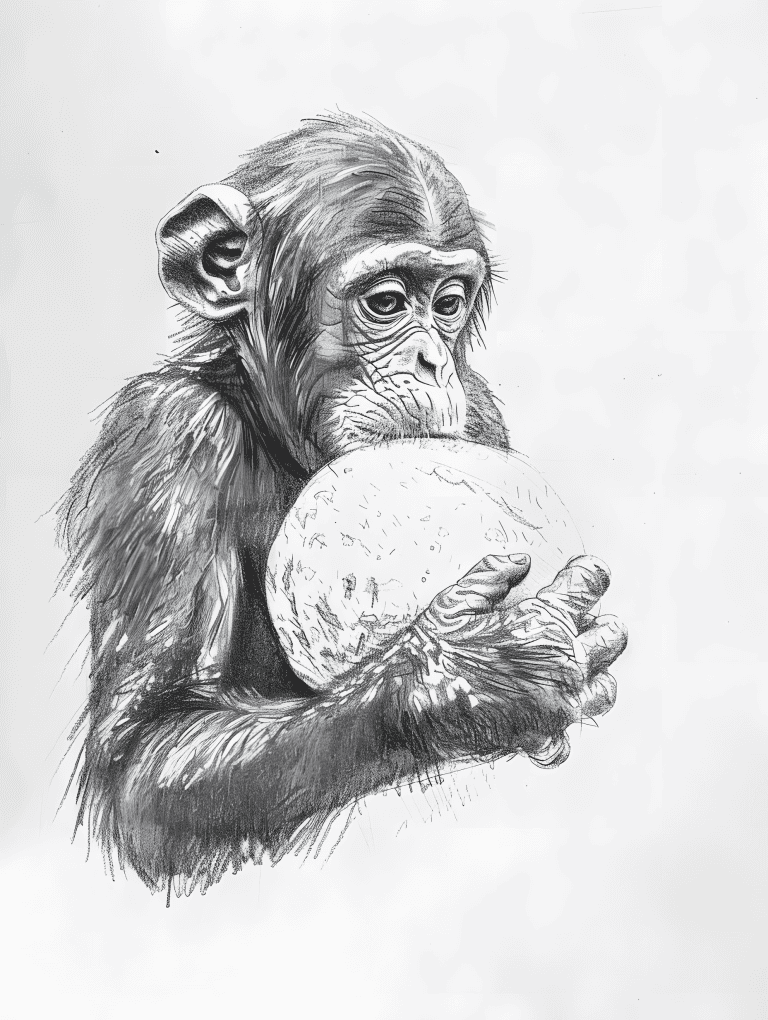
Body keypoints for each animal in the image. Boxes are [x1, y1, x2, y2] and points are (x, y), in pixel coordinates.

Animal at [57, 112, 628, 894]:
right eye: (385, 303)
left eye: (447, 305)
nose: (431, 360)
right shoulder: (165, 441)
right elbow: (149, 749)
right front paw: (472, 672)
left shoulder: (480, 411)